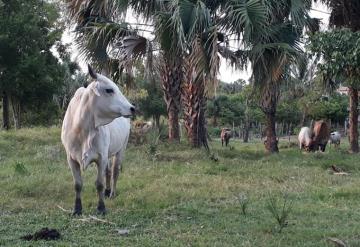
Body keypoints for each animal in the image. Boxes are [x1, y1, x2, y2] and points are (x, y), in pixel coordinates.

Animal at [61, 65, 136, 214]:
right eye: (109, 90)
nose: (132, 108)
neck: (82, 129)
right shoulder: (71, 159)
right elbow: (78, 184)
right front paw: (77, 209)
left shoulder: (101, 157)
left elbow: (99, 184)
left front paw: (101, 208)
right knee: (108, 171)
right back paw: (107, 192)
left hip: (121, 149)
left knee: (114, 172)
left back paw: (112, 193)